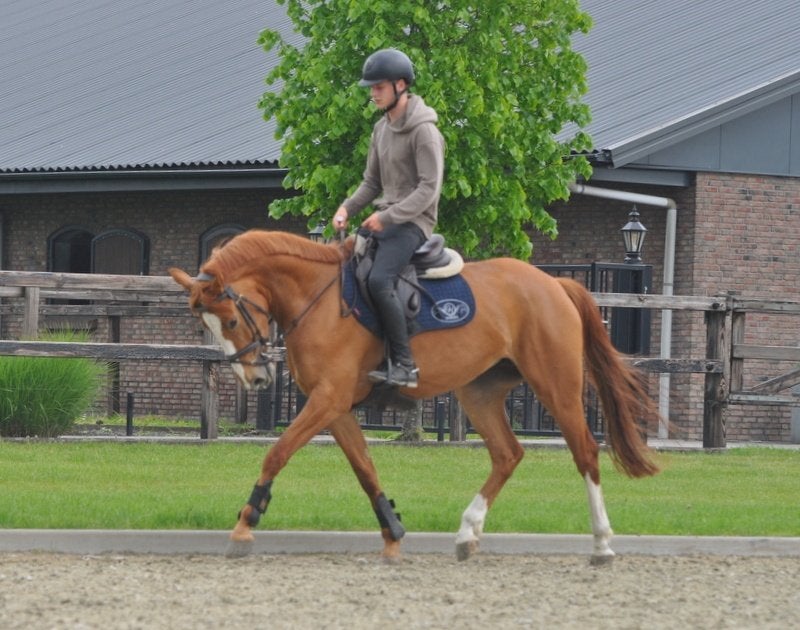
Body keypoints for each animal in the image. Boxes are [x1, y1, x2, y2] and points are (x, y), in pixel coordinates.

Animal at [169, 229, 660, 564]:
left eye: (231, 321)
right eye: (205, 326)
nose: (254, 379)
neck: (318, 296)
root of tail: (555, 284)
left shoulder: (326, 400)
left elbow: (277, 453)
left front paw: (245, 523)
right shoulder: (335, 407)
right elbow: (365, 469)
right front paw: (392, 532)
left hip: (555, 385)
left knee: (586, 452)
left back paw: (601, 543)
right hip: (479, 392)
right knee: (507, 454)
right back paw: (467, 534)